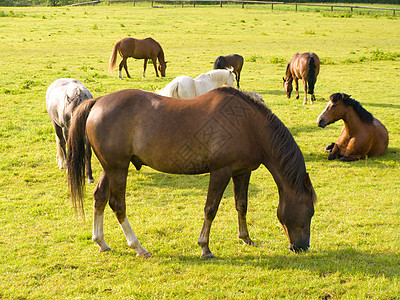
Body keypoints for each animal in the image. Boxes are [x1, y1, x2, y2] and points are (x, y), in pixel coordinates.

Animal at [67, 86, 316, 258]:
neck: (249, 125)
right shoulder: (220, 172)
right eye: (310, 212)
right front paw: (205, 247)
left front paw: (245, 238)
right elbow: (211, 209)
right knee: (118, 204)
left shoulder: (242, 172)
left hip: (111, 168)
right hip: (118, 168)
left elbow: (241, 205)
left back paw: (101, 242)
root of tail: (98, 101)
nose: (301, 247)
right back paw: (138, 247)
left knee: (100, 197)